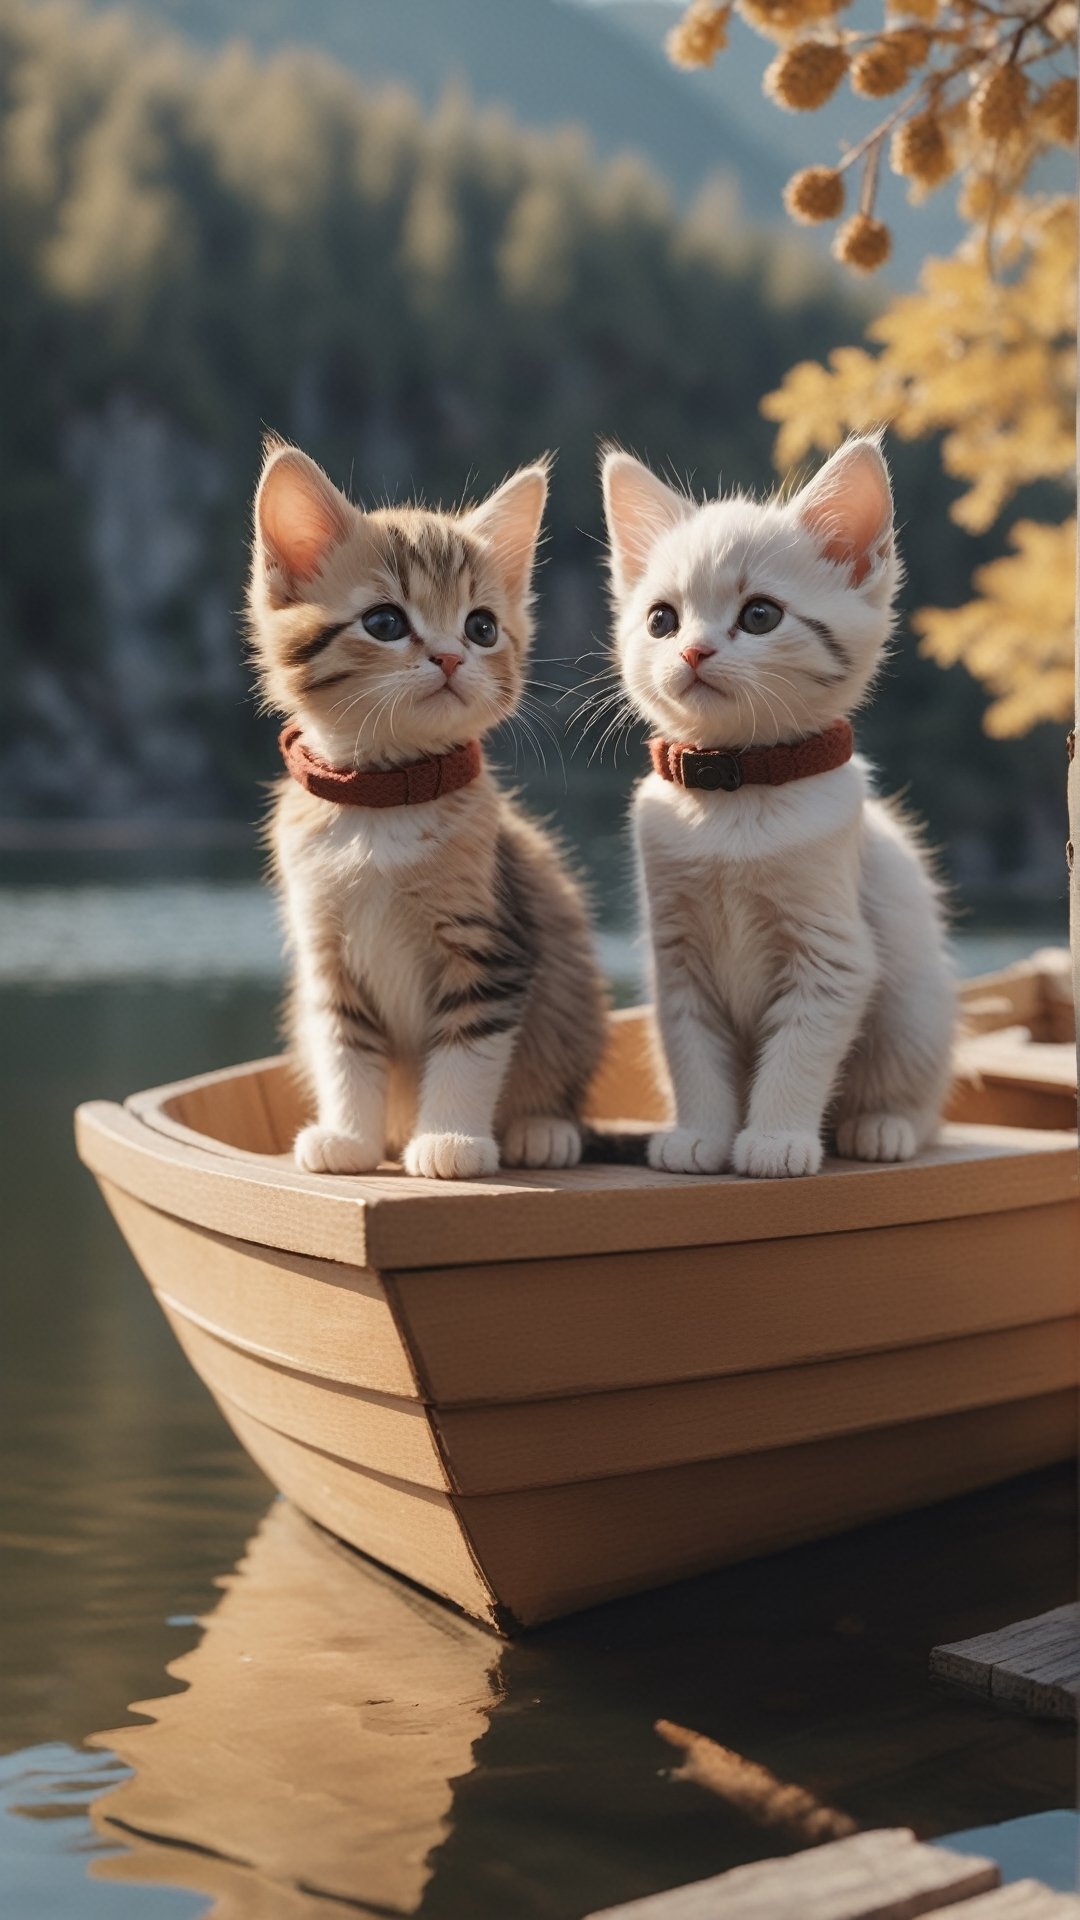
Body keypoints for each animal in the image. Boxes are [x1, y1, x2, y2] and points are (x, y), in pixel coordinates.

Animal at [249, 439, 607, 1175]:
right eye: (385, 622)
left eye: (482, 627)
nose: (448, 656)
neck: (383, 800)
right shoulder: (326, 959)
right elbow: (345, 1053)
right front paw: (351, 1138)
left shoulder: (493, 947)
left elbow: (467, 1053)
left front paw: (451, 1141)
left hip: (572, 991)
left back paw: (541, 1127)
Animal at [599, 437, 953, 1175]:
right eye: (661, 619)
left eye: (760, 614)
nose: (692, 650)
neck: (736, 790)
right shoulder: (676, 965)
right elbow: (693, 1055)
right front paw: (702, 1133)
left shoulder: (834, 959)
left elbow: (796, 1056)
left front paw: (774, 1140)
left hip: (916, 1009)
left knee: (919, 1097)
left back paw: (883, 1125)